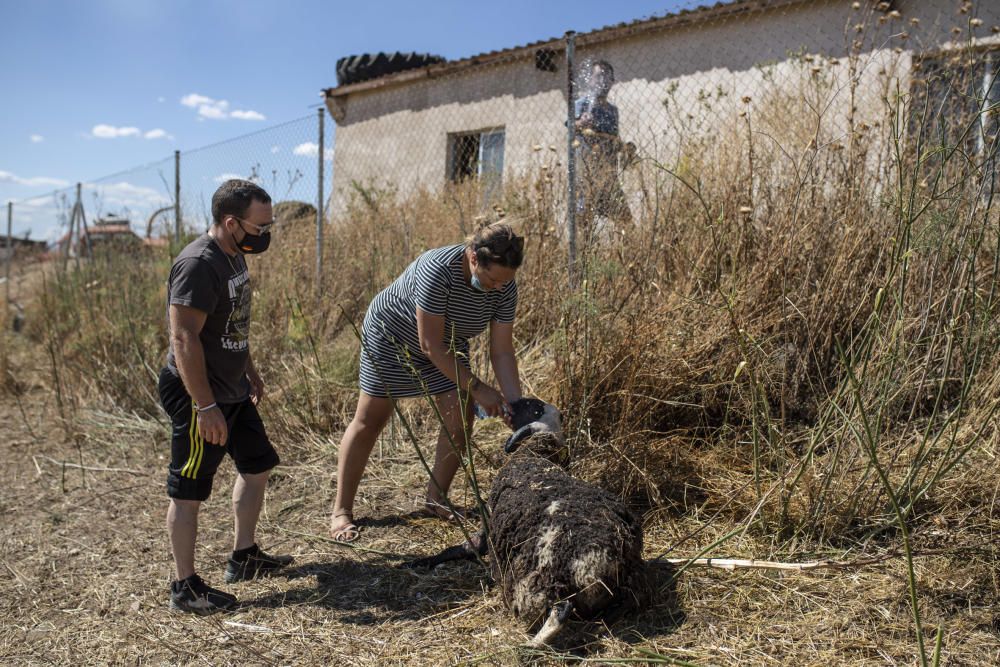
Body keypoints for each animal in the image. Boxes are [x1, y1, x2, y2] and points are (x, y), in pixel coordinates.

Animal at [406, 400, 656, 648]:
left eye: (529, 405)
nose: (510, 403)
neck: (536, 455)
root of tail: (606, 558)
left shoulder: (487, 528)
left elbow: (464, 547)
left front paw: (421, 561)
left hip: (535, 585)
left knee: (557, 611)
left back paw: (530, 646)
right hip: (629, 586)